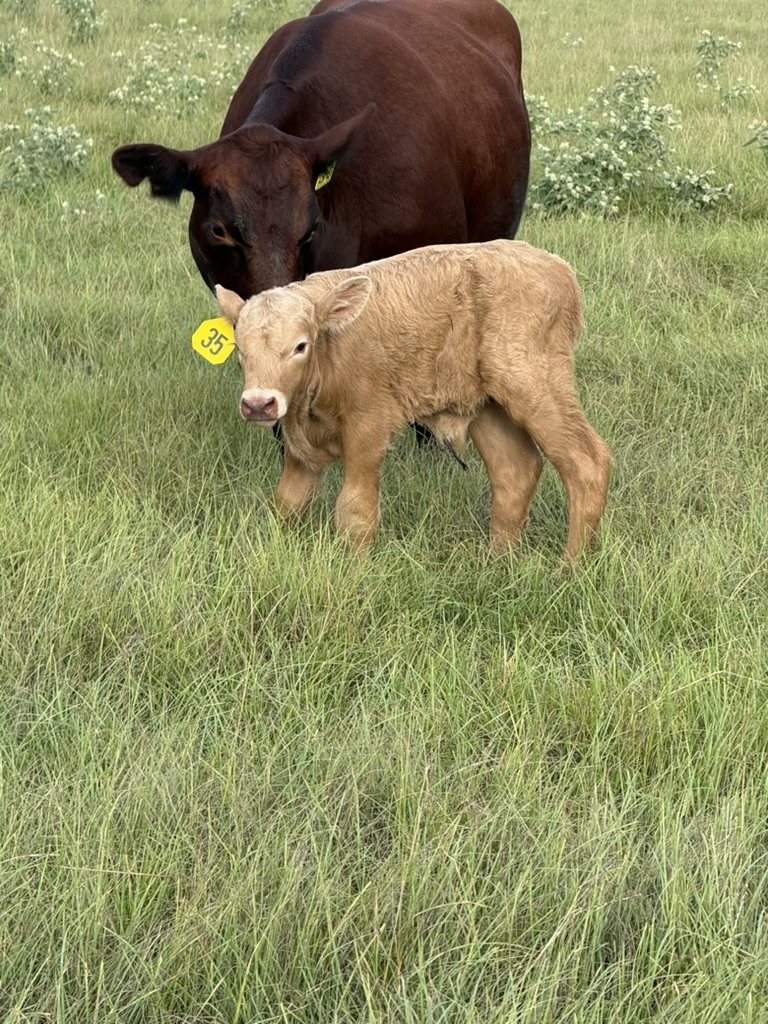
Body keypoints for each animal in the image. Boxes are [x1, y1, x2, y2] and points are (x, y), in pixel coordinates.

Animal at [215, 241, 612, 559]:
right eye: (239, 349)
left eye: (300, 345)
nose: (259, 404)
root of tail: (554, 266)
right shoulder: (300, 449)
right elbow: (288, 502)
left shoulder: (368, 428)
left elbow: (356, 509)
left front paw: (355, 571)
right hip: (488, 406)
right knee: (514, 472)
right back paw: (497, 562)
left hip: (536, 386)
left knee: (586, 463)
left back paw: (570, 567)